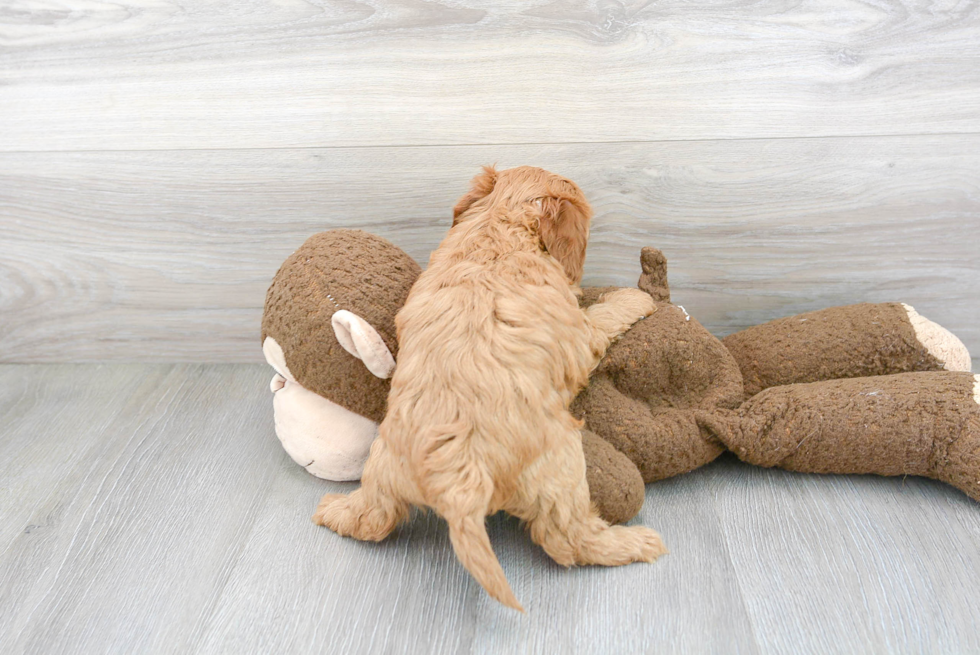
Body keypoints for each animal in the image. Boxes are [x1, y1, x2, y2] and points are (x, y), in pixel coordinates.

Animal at [314, 165, 668, 608]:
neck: (498, 227)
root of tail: (459, 481)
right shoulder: (581, 332)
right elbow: (605, 315)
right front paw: (636, 298)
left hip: (382, 466)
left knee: (373, 517)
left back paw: (333, 511)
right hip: (562, 464)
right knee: (567, 541)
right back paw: (636, 543)